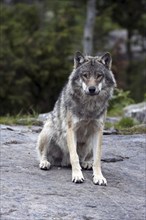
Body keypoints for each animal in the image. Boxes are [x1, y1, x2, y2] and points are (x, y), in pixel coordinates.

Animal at [36, 51, 116, 186]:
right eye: (85, 75)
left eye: (99, 76)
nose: (92, 89)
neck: (89, 106)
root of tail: (64, 162)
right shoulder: (71, 129)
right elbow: (74, 156)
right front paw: (77, 176)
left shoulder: (98, 130)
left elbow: (97, 159)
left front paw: (99, 177)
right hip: (49, 130)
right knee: (43, 153)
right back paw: (45, 163)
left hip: (91, 141)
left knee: (87, 158)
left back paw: (87, 163)